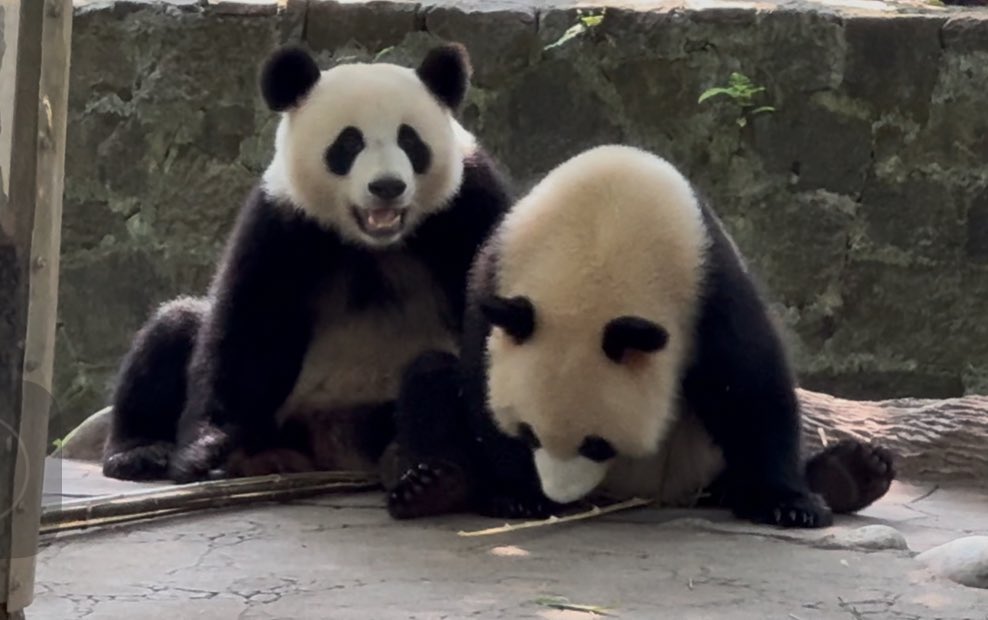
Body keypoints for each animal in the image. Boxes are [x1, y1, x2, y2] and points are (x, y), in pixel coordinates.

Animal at [101, 42, 513, 483]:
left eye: (410, 140)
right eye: (348, 144)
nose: (387, 186)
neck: (374, 244)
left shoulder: (466, 208)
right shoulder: (283, 223)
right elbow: (248, 329)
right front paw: (203, 449)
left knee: (433, 376)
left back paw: (421, 469)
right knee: (172, 329)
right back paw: (140, 451)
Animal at [386, 144, 895, 528]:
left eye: (596, 443)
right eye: (528, 433)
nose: (560, 494)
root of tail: (642, 493)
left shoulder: (708, 283)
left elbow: (750, 385)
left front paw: (791, 504)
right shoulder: (497, 272)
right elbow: (479, 384)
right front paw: (519, 495)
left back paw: (852, 474)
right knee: (430, 377)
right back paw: (434, 486)